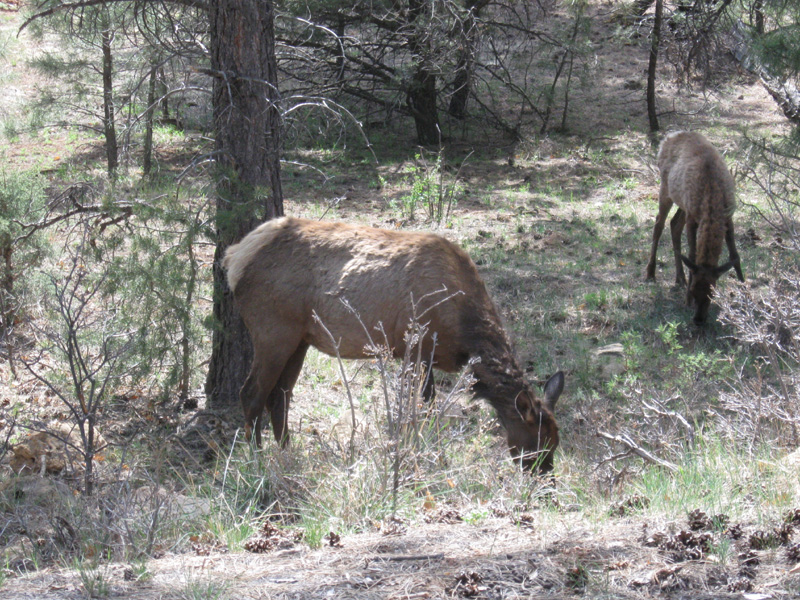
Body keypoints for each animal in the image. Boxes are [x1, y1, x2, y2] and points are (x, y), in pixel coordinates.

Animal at [222, 216, 564, 474]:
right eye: (538, 443)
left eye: (556, 441)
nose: (545, 479)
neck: (464, 331)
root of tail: (234, 257)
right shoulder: (415, 346)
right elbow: (421, 408)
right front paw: (426, 454)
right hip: (272, 329)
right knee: (251, 392)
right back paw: (257, 461)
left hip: (300, 338)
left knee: (279, 396)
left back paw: (288, 455)